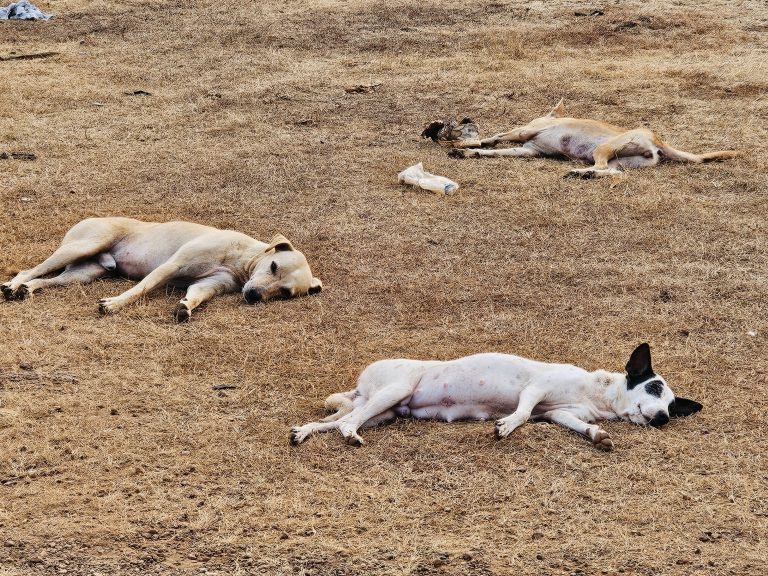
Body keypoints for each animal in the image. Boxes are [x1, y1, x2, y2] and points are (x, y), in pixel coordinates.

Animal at [1, 217, 322, 322]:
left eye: (284, 293)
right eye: (273, 265)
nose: (253, 295)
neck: (242, 258)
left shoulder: (209, 284)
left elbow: (196, 295)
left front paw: (186, 306)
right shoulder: (171, 266)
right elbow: (141, 288)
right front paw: (114, 304)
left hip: (84, 274)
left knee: (48, 280)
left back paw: (26, 290)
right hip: (81, 247)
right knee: (29, 270)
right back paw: (12, 285)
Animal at [292, 342, 704, 450]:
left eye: (673, 407)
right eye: (654, 387)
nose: (664, 418)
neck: (598, 393)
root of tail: (362, 383)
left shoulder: (561, 414)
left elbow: (582, 428)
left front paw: (599, 436)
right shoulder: (535, 389)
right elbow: (520, 414)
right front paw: (504, 427)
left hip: (384, 411)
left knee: (333, 421)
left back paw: (301, 432)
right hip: (395, 391)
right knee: (346, 422)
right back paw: (349, 435)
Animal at [448, 100, 740, 178]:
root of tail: (657, 140)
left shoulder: (523, 132)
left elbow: (493, 138)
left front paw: (464, 144)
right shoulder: (529, 150)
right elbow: (492, 150)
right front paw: (468, 152)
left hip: (603, 148)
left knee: (601, 167)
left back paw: (580, 172)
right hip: (619, 161)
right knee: (614, 173)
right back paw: (585, 174)